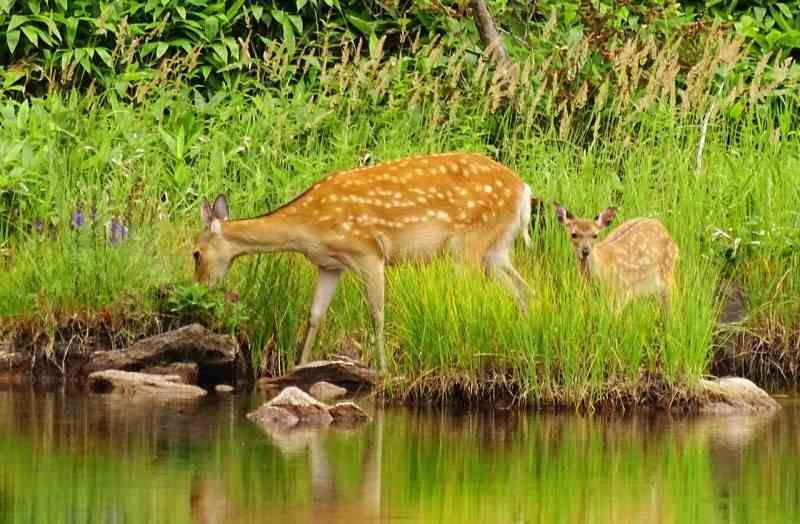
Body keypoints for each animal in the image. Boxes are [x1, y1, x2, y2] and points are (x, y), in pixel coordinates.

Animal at [192, 151, 532, 372]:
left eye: (195, 253)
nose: (199, 288)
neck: (307, 226)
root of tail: (524, 191)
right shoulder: (329, 264)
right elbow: (315, 314)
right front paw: (299, 365)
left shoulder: (368, 251)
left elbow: (377, 312)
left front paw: (382, 370)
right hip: (497, 249)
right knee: (524, 290)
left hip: (470, 243)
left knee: (470, 296)